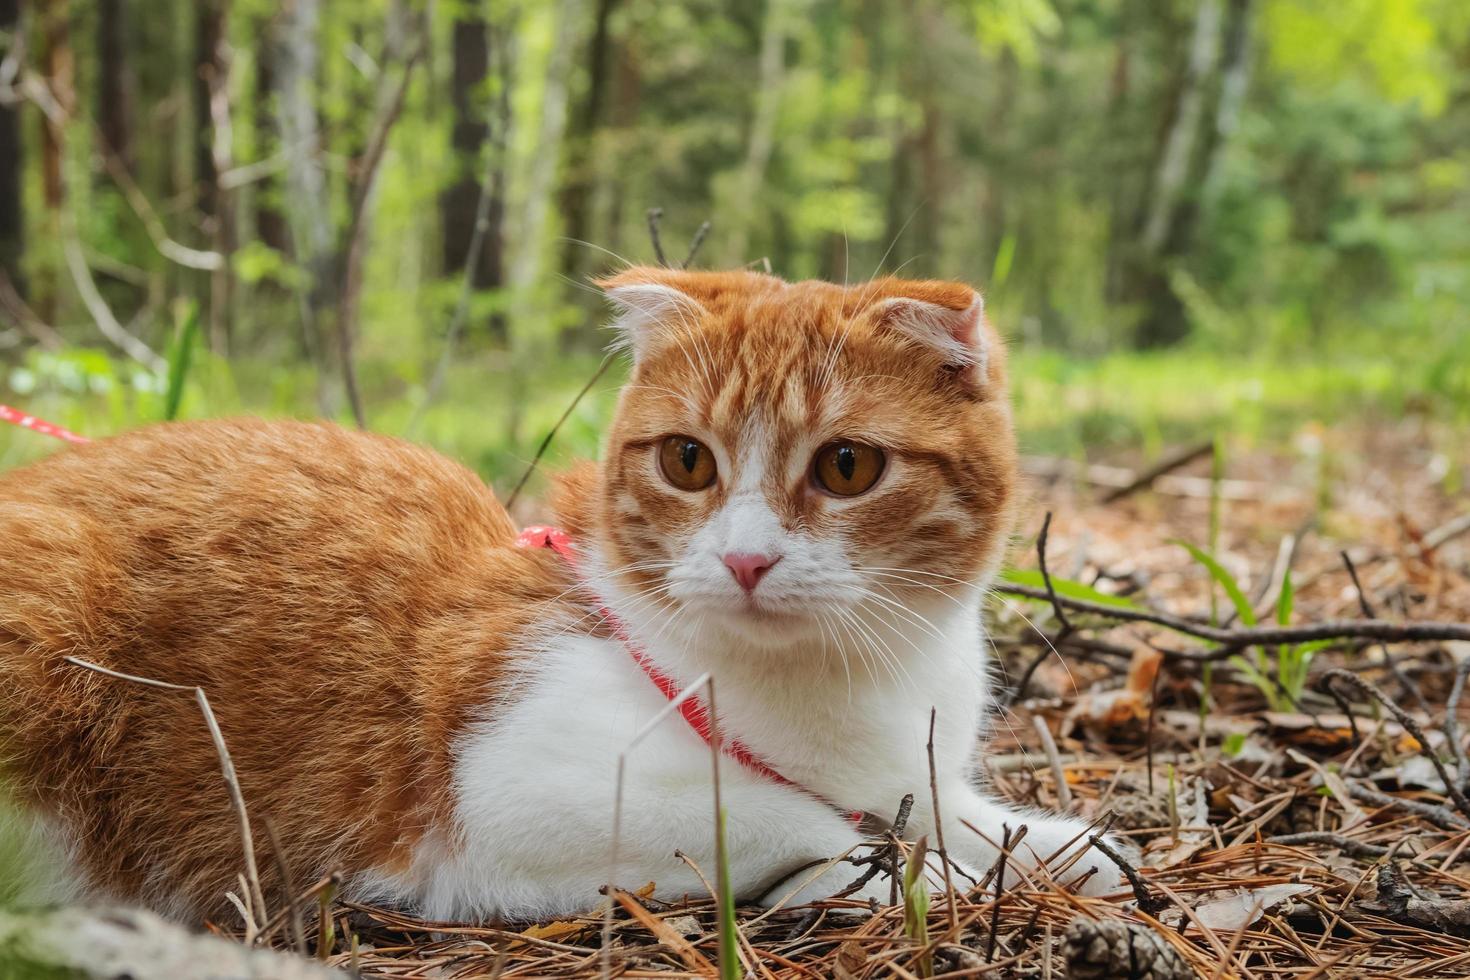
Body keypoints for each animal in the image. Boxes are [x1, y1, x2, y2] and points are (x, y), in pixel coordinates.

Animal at [0, 265, 1111, 922]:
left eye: (846, 466)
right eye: (688, 461)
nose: (746, 560)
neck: (849, 681)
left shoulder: (910, 769)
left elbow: (960, 813)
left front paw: (1065, 848)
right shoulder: (506, 796)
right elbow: (790, 817)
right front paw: (910, 873)